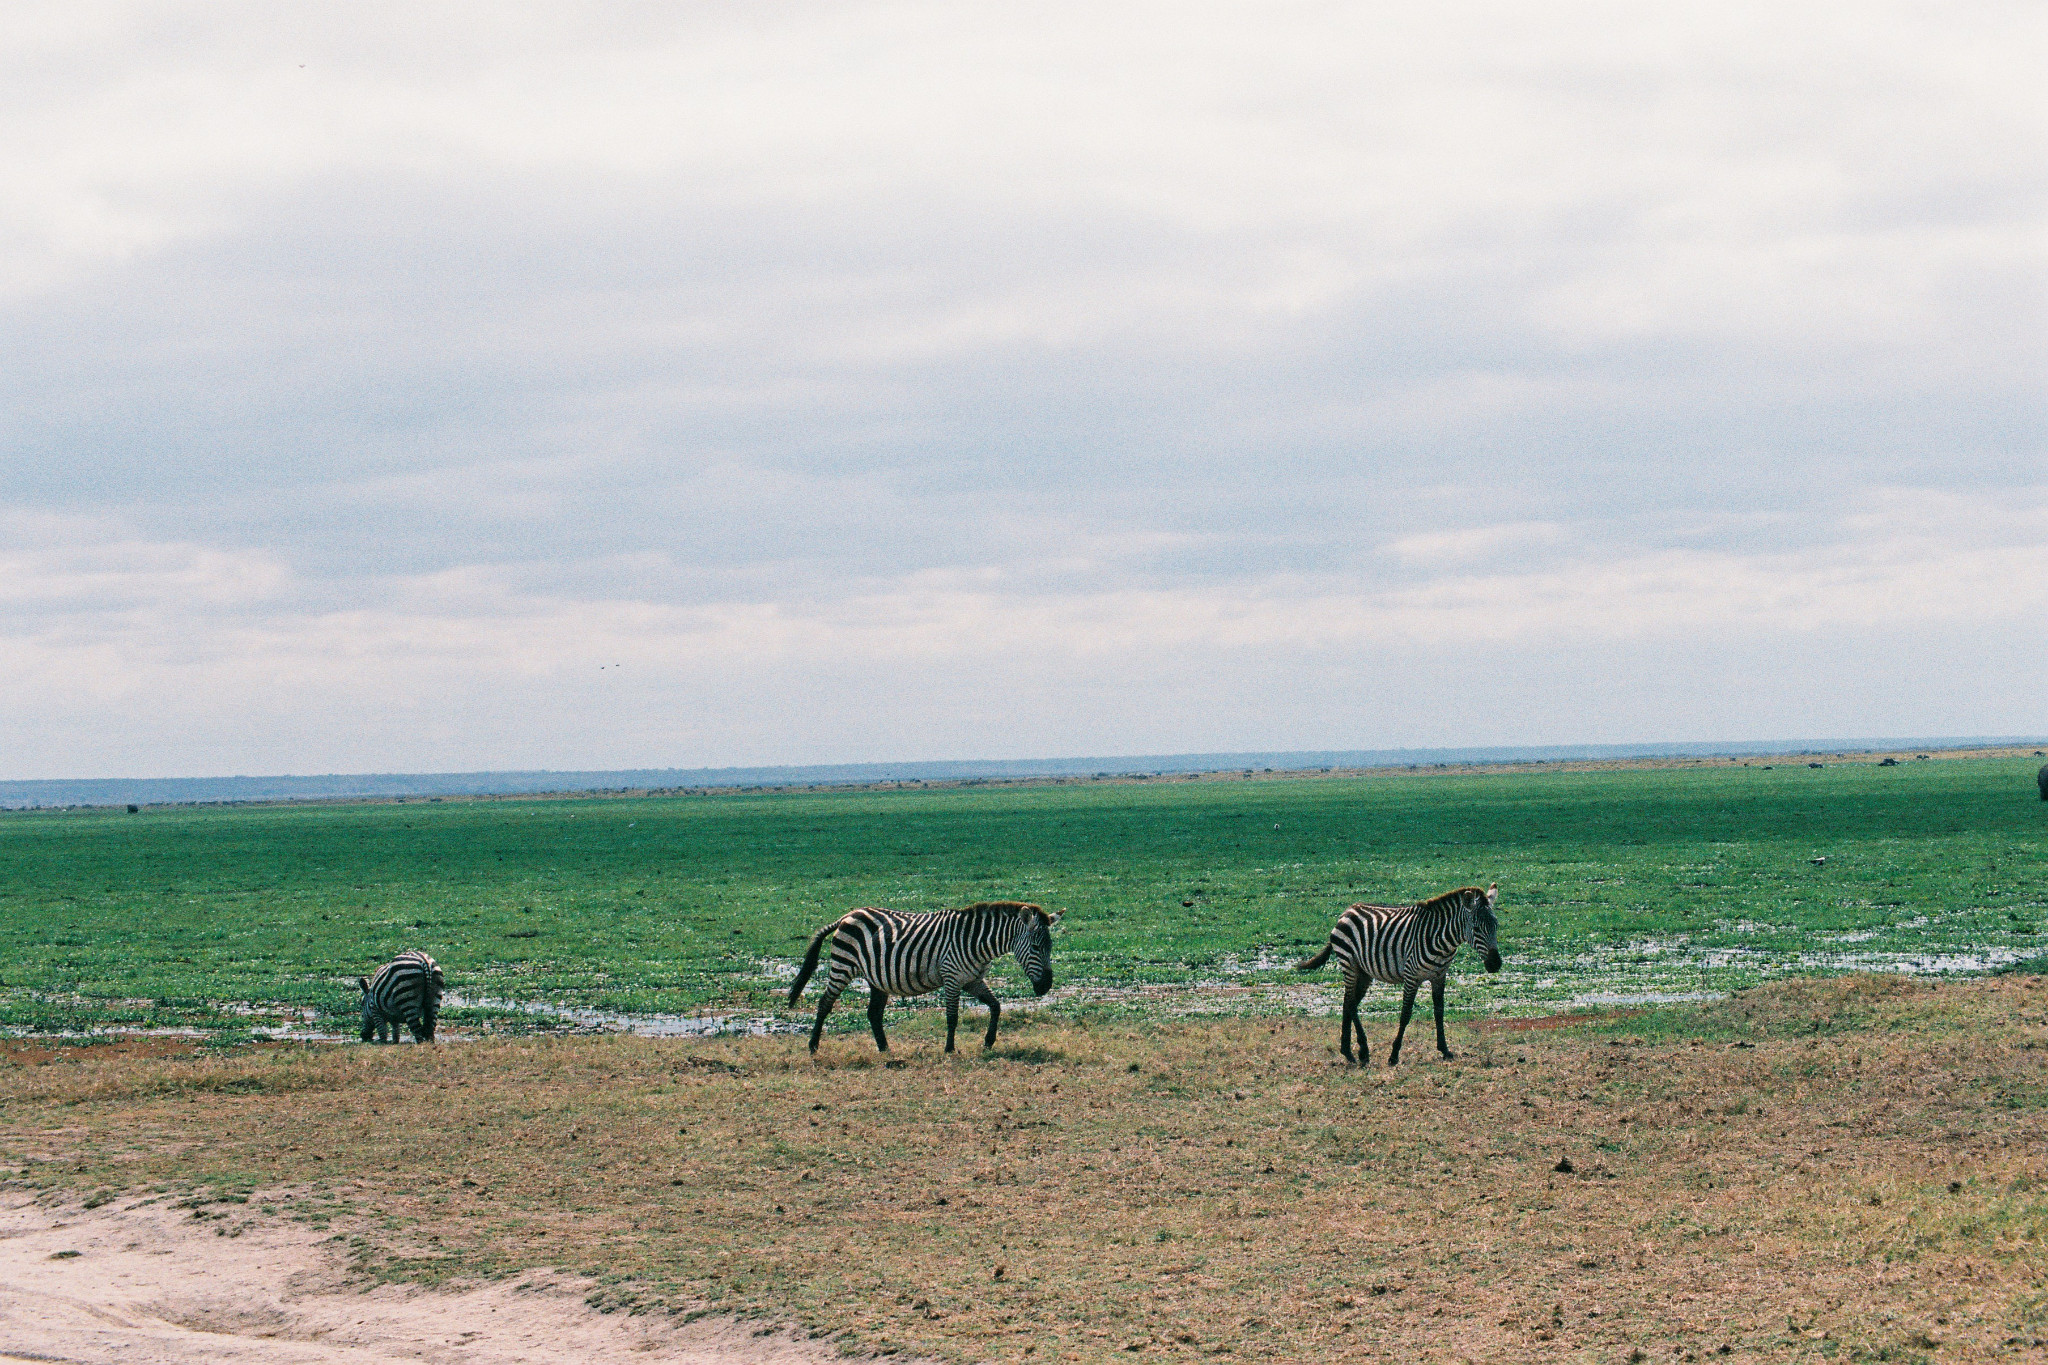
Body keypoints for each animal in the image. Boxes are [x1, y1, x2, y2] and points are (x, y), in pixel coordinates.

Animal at [786, 908, 1064, 1055]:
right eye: (1036, 947)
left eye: (1051, 947)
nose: (1045, 987)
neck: (977, 942)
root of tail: (847, 915)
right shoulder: (952, 978)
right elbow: (952, 1017)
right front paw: (949, 1049)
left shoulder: (972, 980)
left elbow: (996, 1006)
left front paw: (988, 1041)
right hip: (842, 967)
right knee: (824, 1004)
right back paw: (813, 1046)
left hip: (876, 978)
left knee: (873, 1013)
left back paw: (885, 1049)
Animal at [1294, 888, 1507, 1064]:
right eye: (1477, 929)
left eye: (1496, 925)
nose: (1495, 964)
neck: (1443, 942)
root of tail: (1347, 911)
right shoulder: (1411, 976)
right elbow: (1405, 1014)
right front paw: (1394, 1054)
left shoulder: (1440, 976)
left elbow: (1439, 1012)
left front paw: (1445, 1050)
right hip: (1349, 964)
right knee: (1351, 1003)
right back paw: (1362, 1050)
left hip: (1364, 972)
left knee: (1348, 1002)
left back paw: (1348, 1052)